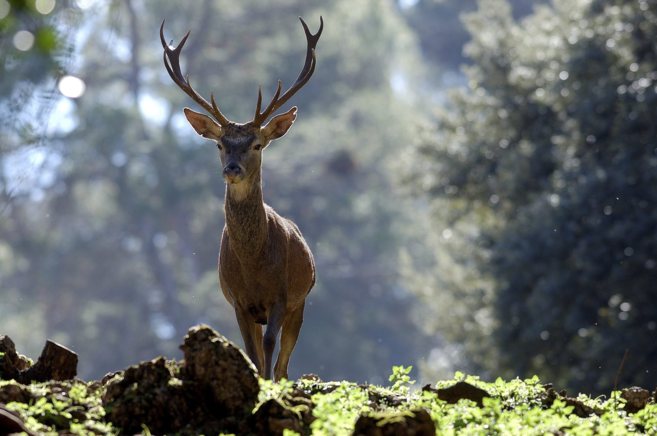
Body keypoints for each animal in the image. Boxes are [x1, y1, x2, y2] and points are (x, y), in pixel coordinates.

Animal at [160, 16, 322, 382]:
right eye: (221, 144)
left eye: (257, 144)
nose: (232, 169)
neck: (253, 265)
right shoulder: (237, 300)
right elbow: (250, 350)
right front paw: (256, 378)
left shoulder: (281, 295)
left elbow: (270, 347)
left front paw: (267, 383)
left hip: (301, 303)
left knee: (284, 363)